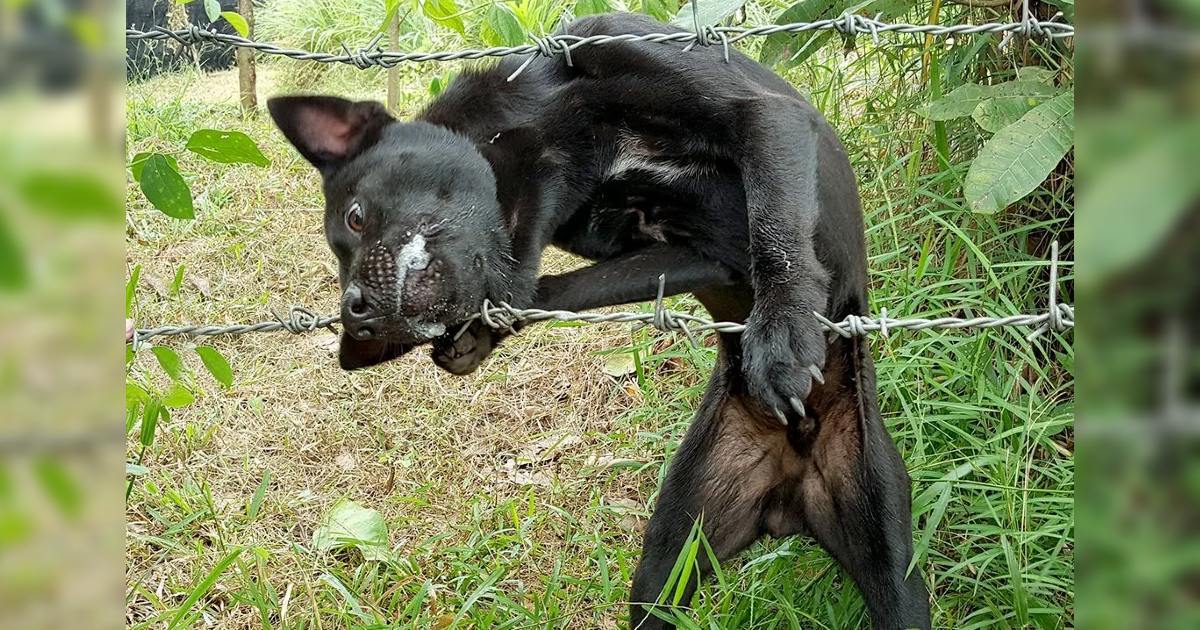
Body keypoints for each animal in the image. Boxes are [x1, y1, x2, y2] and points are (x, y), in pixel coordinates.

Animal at [272, 12, 926, 624]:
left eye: (356, 217)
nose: (356, 315)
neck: (558, 128)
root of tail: (793, 485)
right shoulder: (689, 254)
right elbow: (559, 288)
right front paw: (482, 332)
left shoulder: (761, 116)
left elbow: (776, 231)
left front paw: (784, 329)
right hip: (669, 559)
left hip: (893, 566)